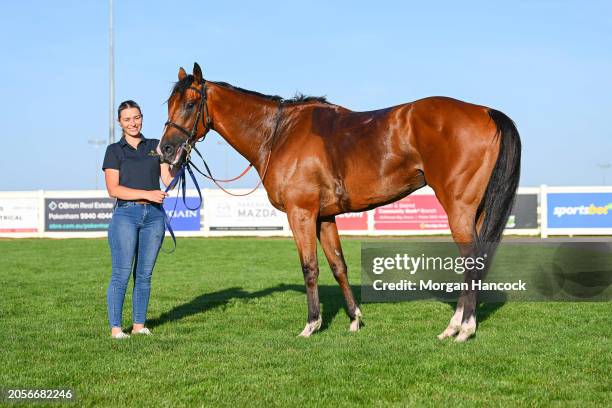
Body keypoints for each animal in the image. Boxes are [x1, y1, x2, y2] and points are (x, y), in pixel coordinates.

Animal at [158, 63, 520, 342]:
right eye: (169, 103)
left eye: (190, 104)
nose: (166, 149)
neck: (279, 134)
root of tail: (485, 111)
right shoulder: (324, 217)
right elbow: (338, 265)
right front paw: (355, 319)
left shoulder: (301, 213)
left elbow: (310, 267)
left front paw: (311, 324)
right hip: (476, 209)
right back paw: (455, 326)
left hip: (457, 207)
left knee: (471, 259)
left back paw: (463, 329)